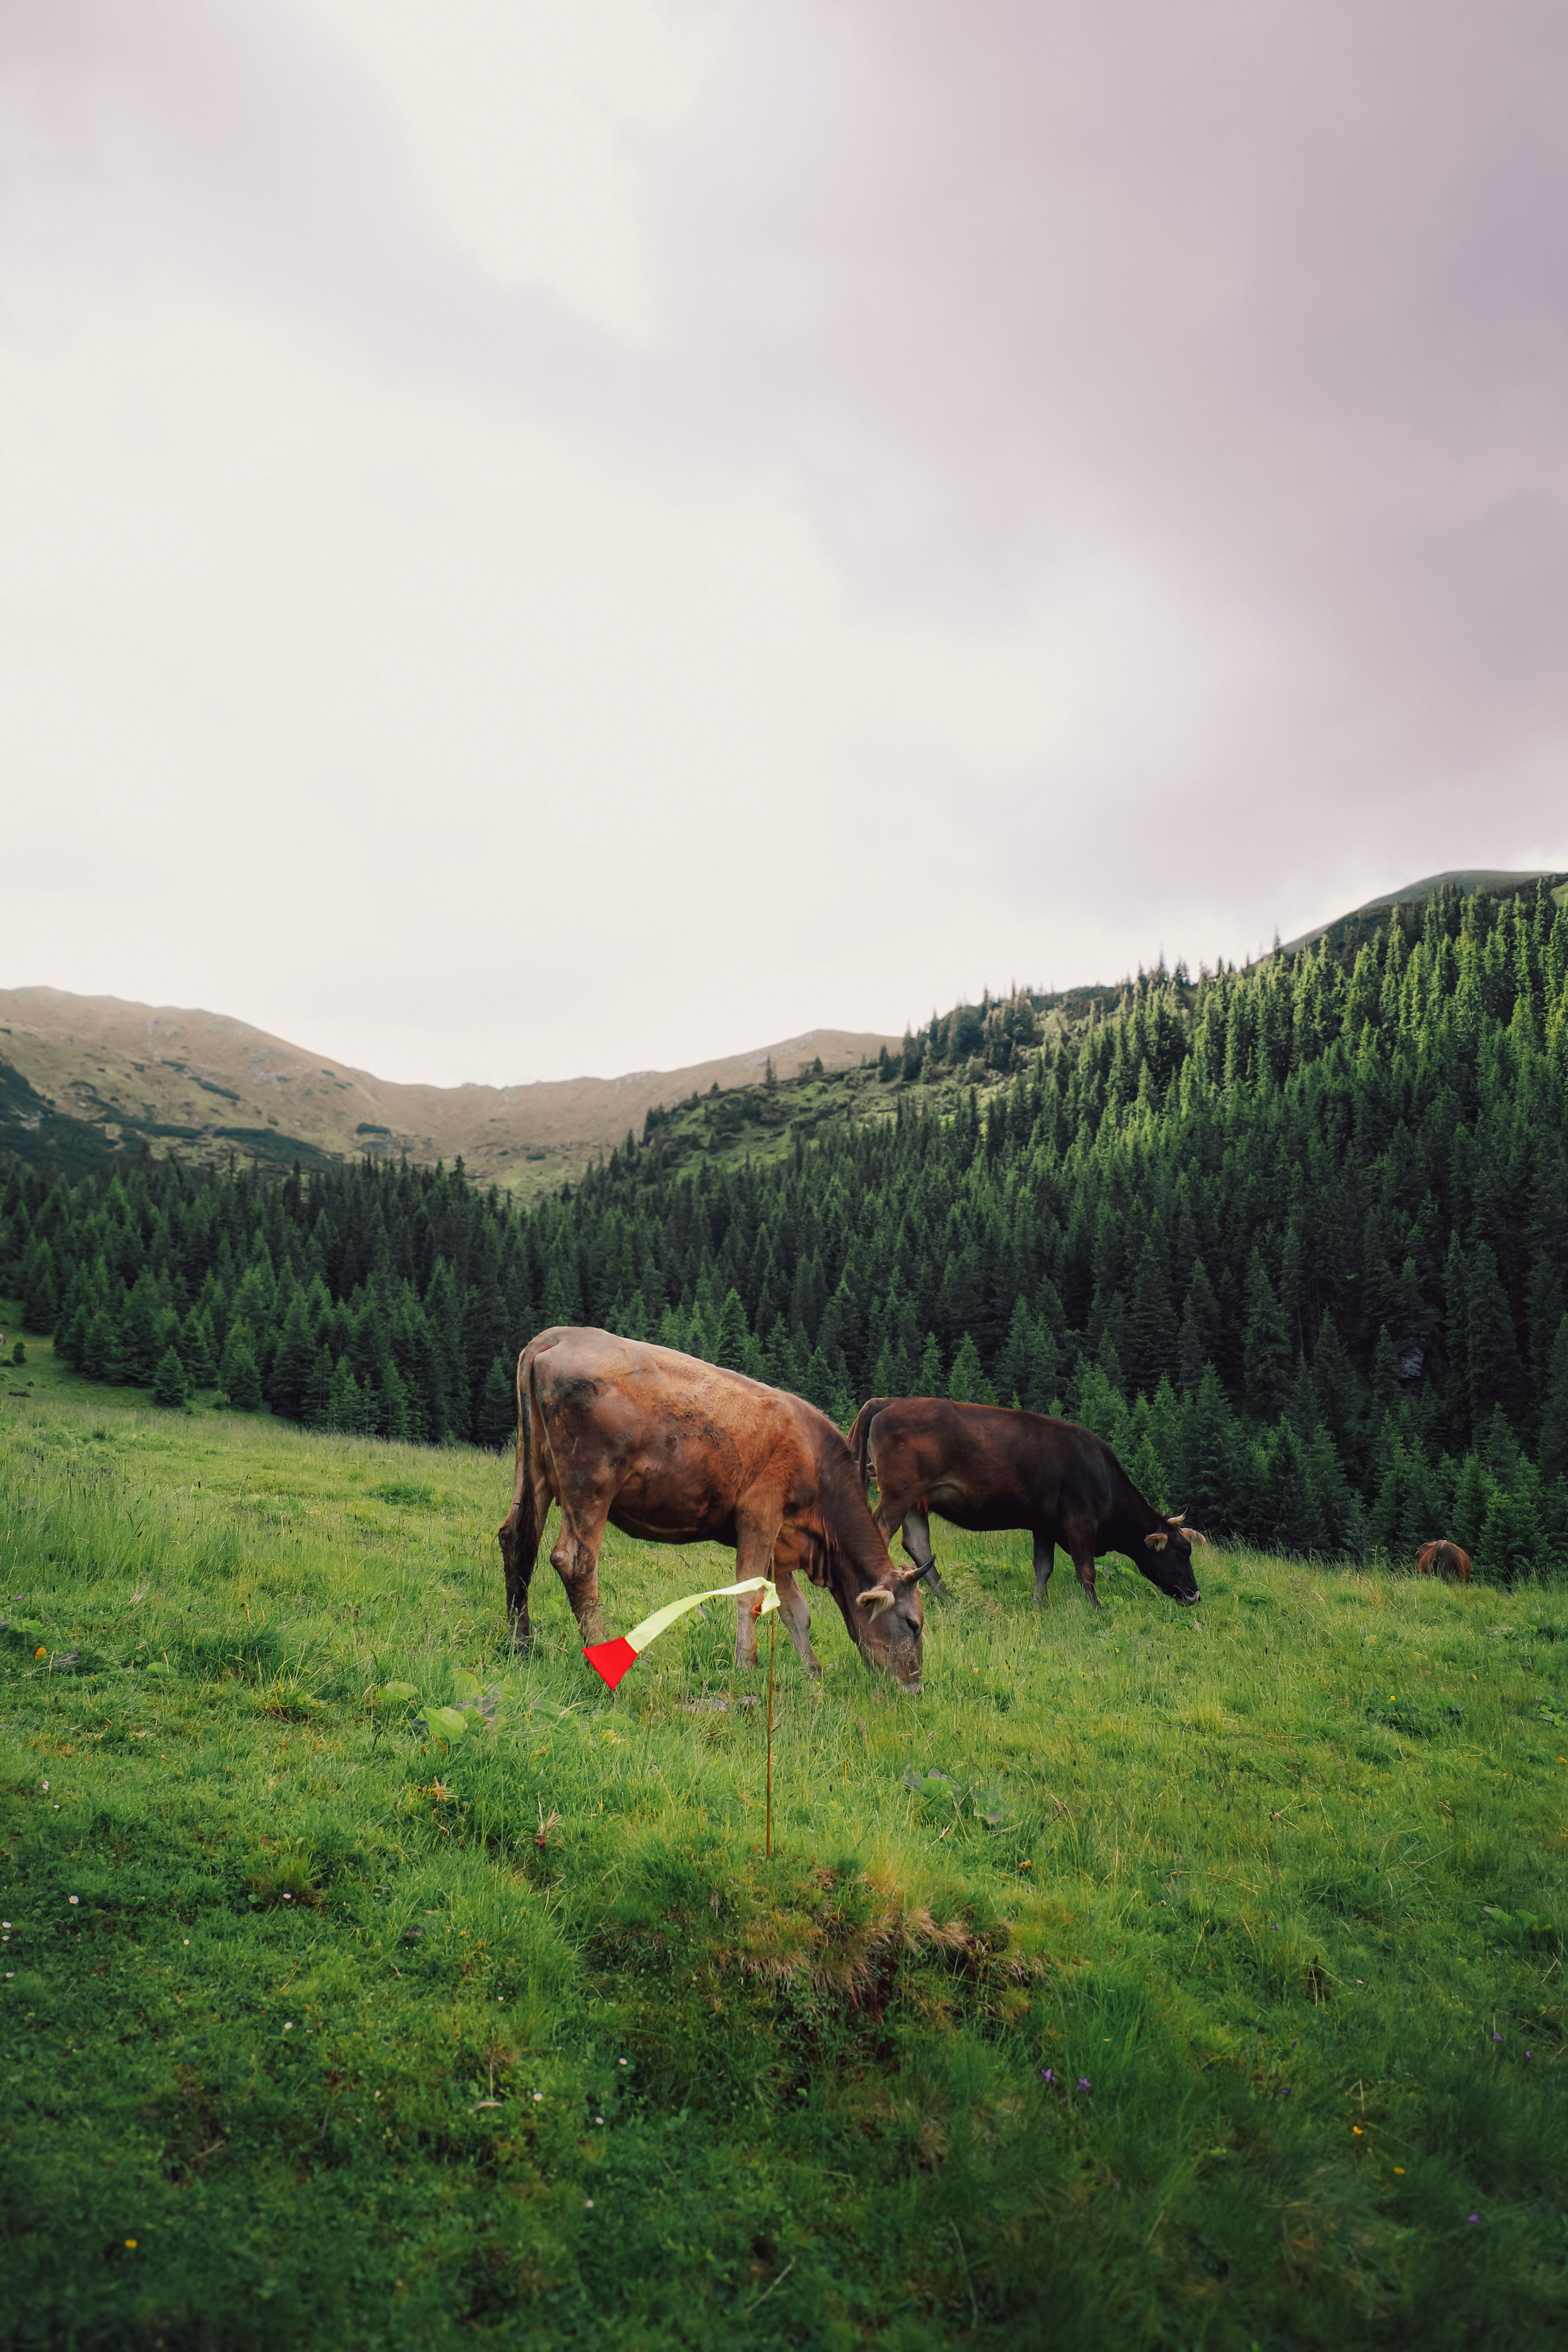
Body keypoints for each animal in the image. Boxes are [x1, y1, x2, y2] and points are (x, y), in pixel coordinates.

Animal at [497, 1328, 925, 1687]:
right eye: (913, 1624)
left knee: (517, 1540)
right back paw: (600, 1656)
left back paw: (521, 1645)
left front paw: (812, 1672)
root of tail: (561, 1335)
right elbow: (750, 1595)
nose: (915, 1687)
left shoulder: (782, 1543)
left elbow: (796, 1610)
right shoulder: (760, 1515)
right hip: (591, 1482)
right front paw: (746, 1667)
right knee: (575, 1561)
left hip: (534, 1470)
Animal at [847, 1395, 1201, 1609]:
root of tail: (890, 1401)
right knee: (881, 1533)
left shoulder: (1045, 1525)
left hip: (916, 1501)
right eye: (1184, 1552)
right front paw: (1095, 1608)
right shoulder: (1080, 1522)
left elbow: (1043, 1568)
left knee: (918, 1544)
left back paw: (948, 1597)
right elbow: (1086, 1570)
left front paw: (1039, 1604)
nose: (1195, 1595)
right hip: (899, 1493)